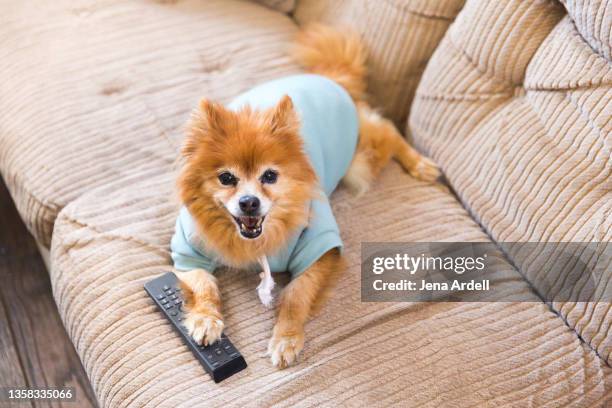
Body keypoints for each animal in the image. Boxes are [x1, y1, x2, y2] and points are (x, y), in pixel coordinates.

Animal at [172, 25, 440, 370]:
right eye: (227, 178)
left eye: (269, 176)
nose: (249, 202)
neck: (254, 242)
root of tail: (329, 78)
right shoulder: (187, 249)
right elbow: (203, 285)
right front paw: (206, 319)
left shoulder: (320, 249)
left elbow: (296, 295)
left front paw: (286, 338)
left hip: (362, 159)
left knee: (390, 132)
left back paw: (419, 164)